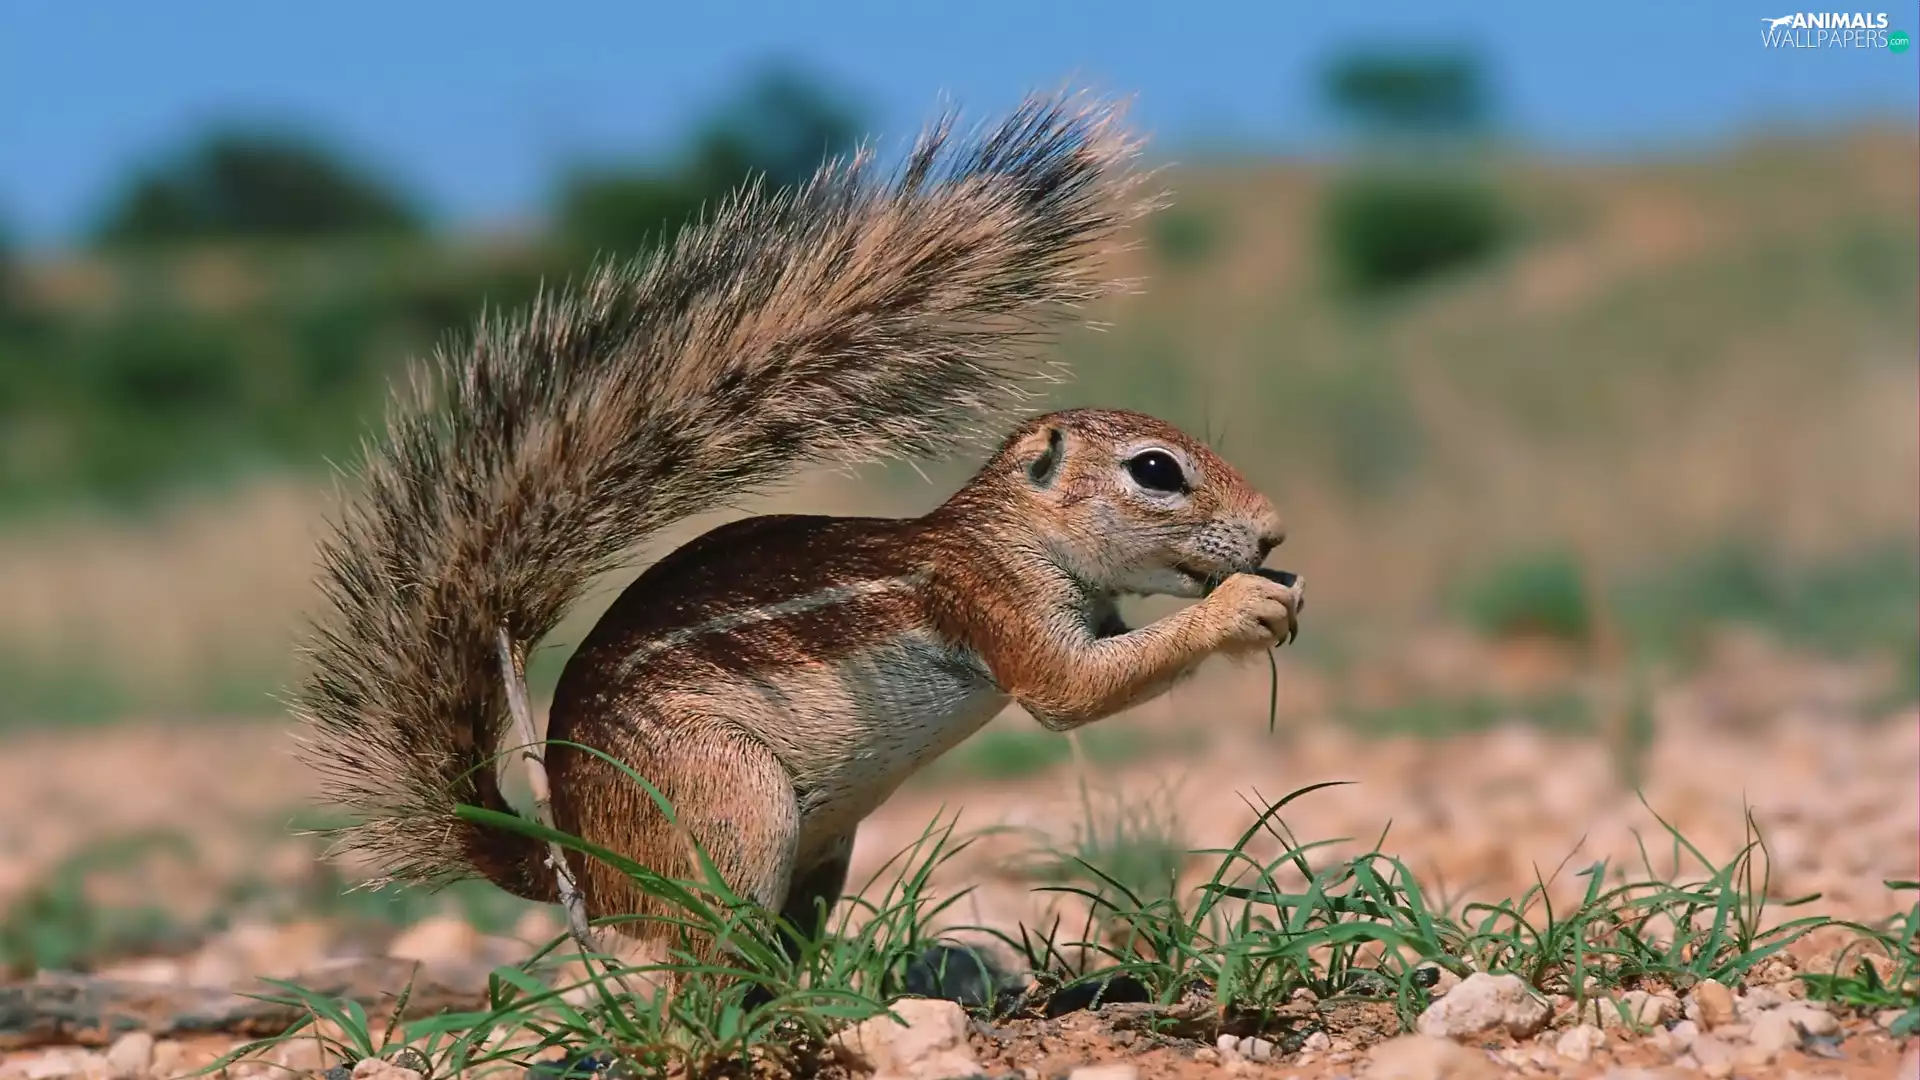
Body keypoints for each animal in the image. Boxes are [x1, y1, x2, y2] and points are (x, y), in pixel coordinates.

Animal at [292, 92, 1305, 976]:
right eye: (1155, 472)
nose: (1274, 536)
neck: (1006, 535)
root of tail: (576, 861)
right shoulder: (987, 598)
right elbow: (1071, 692)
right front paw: (1243, 611)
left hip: (823, 850)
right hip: (729, 807)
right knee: (701, 970)